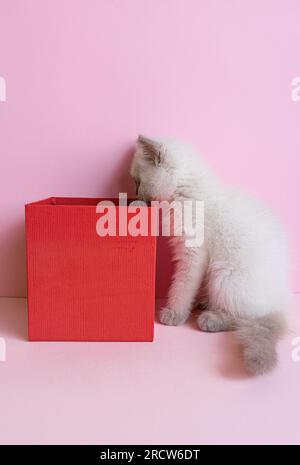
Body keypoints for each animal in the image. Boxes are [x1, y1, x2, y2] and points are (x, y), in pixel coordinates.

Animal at [131, 136, 290, 376]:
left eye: (137, 182)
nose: (135, 194)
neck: (188, 194)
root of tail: (280, 302)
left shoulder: (193, 253)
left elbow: (182, 285)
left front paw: (174, 313)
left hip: (223, 274)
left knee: (244, 317)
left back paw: (212, 318)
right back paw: (204, 303)